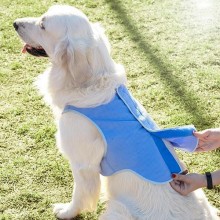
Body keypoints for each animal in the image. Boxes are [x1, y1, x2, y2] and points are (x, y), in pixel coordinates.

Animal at [13, 4, 218, 219]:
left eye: (43, 25)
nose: (15, 23)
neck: (93, 81)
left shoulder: (81, 164)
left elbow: (79, 194)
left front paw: (66, 211)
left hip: (118, 210)